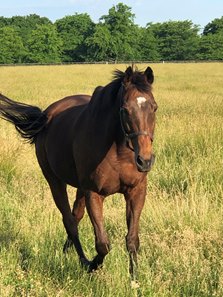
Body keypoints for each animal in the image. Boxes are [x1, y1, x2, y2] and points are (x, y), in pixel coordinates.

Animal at [0, 66, 157, 280]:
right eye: (125, 110)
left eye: (154, 107)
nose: (145, 160)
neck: (118, 150)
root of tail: (45, 116)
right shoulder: (94, 193)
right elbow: (102, 244)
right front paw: (93, 265)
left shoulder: (136, 191)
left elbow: (132, 239)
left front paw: (134, 278)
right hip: (55, 181)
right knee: (70, 222)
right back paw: (81, 260)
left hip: (80, 187)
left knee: (76, 215)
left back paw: (66, 253)